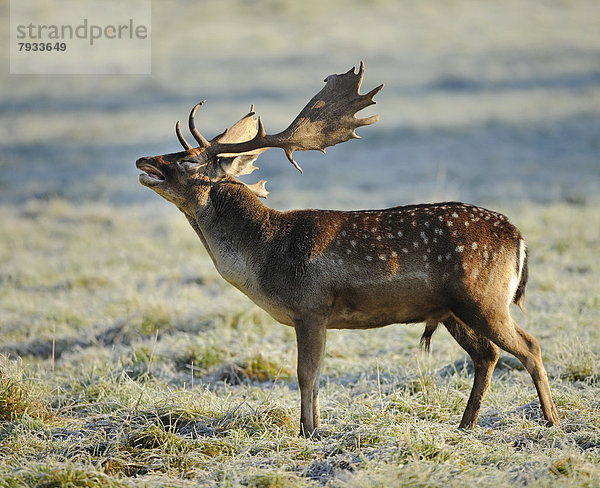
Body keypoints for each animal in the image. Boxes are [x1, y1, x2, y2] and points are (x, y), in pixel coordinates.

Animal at [135, 62, 556, 438]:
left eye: (189, 160)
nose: (143, 159)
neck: (264, 253)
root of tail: (518, 237)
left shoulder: (310, 305)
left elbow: (307, 374)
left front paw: (310, 432)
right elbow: (315, 373)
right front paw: (313, 428)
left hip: (483, 297)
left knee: (529, 346)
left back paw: (551, 420)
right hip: (454, 309)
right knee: (487, 355)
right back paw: (465, 425)